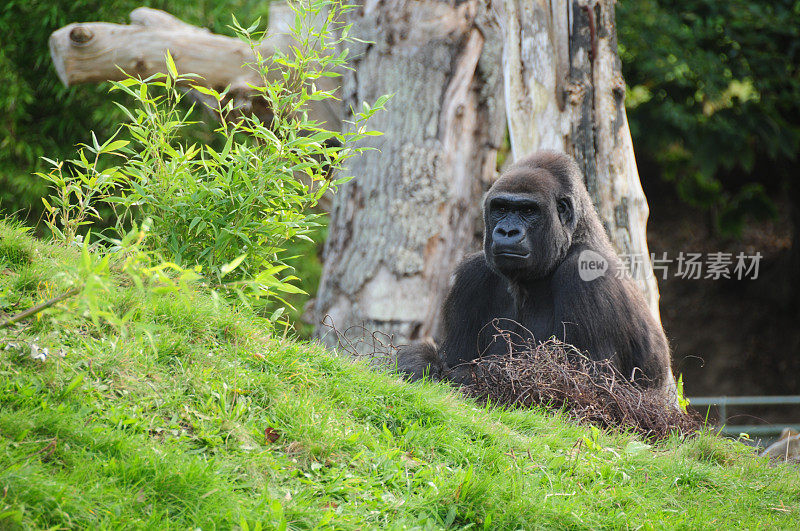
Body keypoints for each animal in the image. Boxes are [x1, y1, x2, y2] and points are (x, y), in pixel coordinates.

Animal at [396, 150, 672, 390]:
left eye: (528, 210)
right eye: (501, 208)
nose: (507, 231)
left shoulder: (586, 275)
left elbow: (587, 384)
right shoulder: (470, 277)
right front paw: (418, 362)